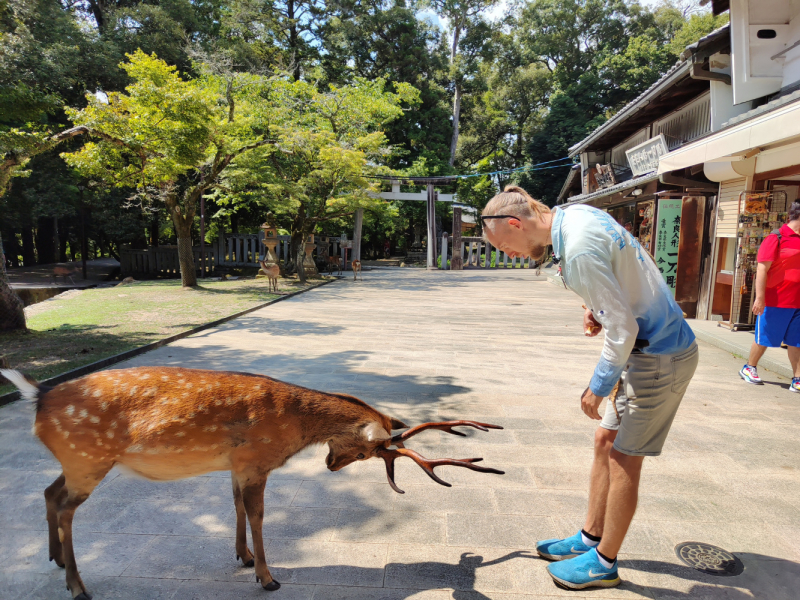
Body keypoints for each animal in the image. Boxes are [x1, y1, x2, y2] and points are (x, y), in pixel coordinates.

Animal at [0, 366, 504, 600]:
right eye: (369, 452)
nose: (332, 466)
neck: (293, 427)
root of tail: (38, 396)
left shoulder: (237, 464)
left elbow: (237, 506)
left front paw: (241, 558)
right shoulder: (256, 460)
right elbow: (259, 514)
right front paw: (267, 577)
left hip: (76, 461)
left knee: (49, 492)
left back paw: (54, 559)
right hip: (88, 459)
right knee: (67, 508)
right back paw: (77, 585)